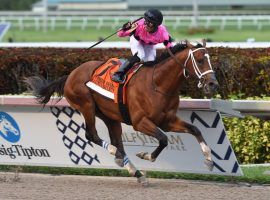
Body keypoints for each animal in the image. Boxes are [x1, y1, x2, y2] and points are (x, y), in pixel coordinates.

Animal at [24, 39, 219, 185]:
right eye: (200, 60)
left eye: (209, 60)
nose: (213, 84)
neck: (158, 84)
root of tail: (70, 74)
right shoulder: (140, 122)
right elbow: (163, 139)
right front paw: (146, 155)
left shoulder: (167, 121)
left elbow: (195, 129)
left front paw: (209, 160)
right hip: (86, 105)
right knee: (92, 135)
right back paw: (117, 155)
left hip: (110, 116)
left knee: (117, 141)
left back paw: (135, 172)